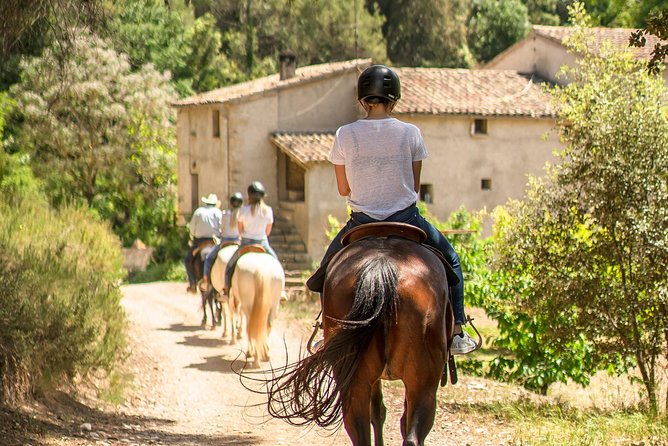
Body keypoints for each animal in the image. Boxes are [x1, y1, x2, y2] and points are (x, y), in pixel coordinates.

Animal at [260, 225, 454, 446]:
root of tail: (382, 265)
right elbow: (383, 412)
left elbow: (378, 411)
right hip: (423, 382)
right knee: (412, 434)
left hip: (356, 378)